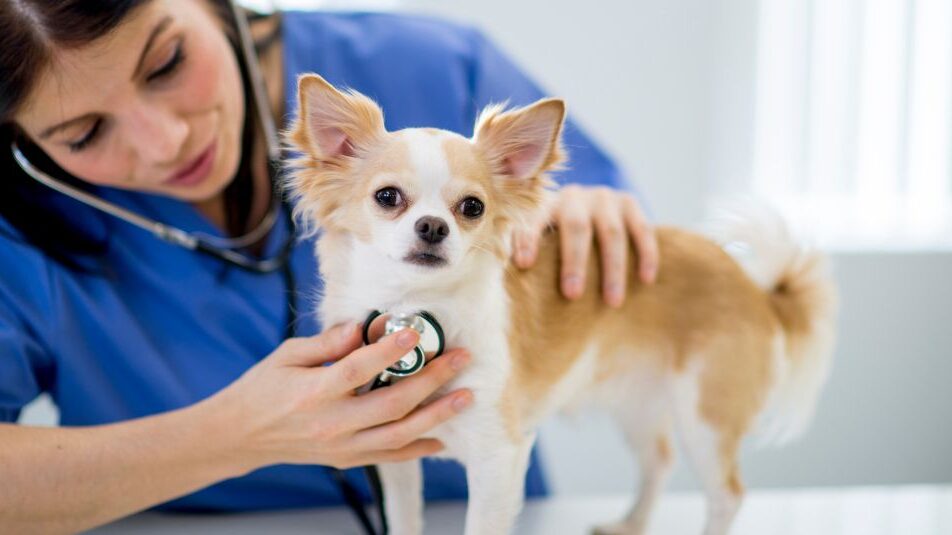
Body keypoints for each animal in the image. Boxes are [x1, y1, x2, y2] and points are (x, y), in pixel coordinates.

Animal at [284, 72, 840, 535]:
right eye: (387, 197)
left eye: (472, 207)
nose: (433, 226)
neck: (416, 306)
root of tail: (755, 287)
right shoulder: (395, 459)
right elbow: (404, 522)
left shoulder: (498, 455)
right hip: (640, 399)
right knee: (659, 459)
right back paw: (629, 524)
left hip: (705, 415)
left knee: (726, 495)